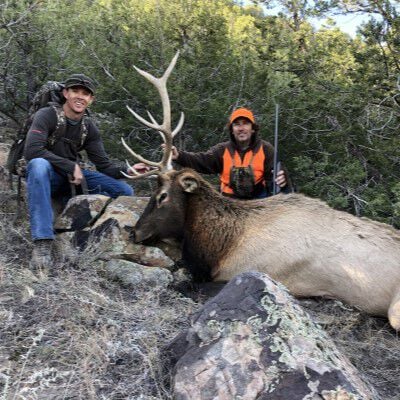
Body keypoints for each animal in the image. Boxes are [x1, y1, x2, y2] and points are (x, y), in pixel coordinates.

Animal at [121, 50, 400, 332]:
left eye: (162, 196)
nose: (134, 231)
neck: (220, 247)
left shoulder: (244, 272)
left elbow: (185, 284)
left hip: (395, 310)